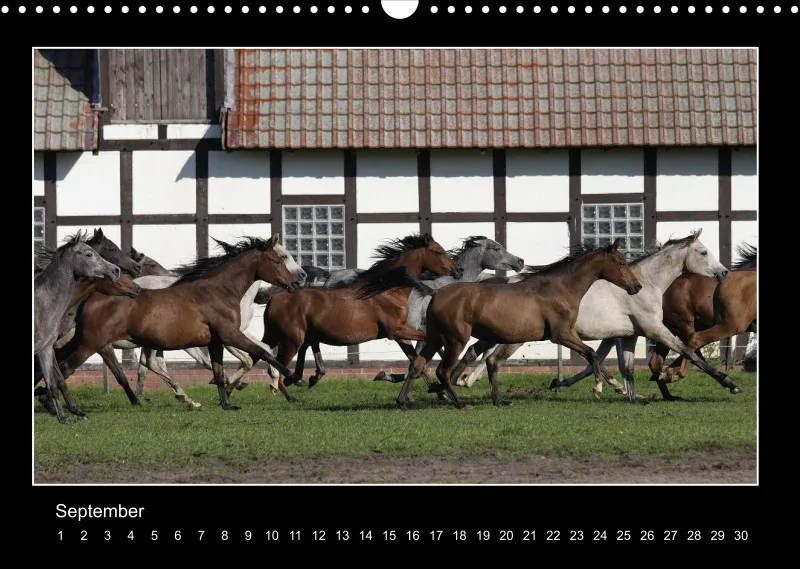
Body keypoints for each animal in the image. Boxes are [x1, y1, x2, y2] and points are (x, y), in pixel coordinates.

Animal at [34, 231, 121, 423]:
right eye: (89, 254)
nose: (116, 270)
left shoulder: (45, 349)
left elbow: (52, 384)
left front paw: (65, 418)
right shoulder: (43, 350)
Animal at [54, 235, 305, 411]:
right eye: (279, 258)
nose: (299, 280)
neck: (220, 292)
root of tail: (92, 296)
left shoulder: (217, 340)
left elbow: (222, 368)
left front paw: (227, 401)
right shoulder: (230, 335)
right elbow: (261, 353)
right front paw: (293, 379)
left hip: (86, 341)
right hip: (93, 343)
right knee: (67, 367)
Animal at [253, 233, 462, 401]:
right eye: (439, 252)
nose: (458, 270)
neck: (387, 288)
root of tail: (274, 298)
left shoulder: (401, 335)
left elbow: (417, 362)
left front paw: (437, 390)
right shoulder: (397, 330)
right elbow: (425, 350)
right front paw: (442, 388)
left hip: (283, 336)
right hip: (291, 341)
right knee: (277, 368)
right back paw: (292, 394)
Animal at [453, 230, 742, 404]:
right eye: (703, 252)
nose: (724, 272)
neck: (646, 284)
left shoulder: (628, 335)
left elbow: (624, 367)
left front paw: (632, 396)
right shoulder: (654, 329)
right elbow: (689, 352)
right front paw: (730, 384)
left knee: (478, 353)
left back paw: (460, 383)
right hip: (515, 338)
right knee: (491, 358)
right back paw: (467, 383)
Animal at [645, 242, 757, 400]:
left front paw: (669, 372)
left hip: (671, 328)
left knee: (657, 362)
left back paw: (669, 391)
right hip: (687, 324)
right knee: (693, 347)